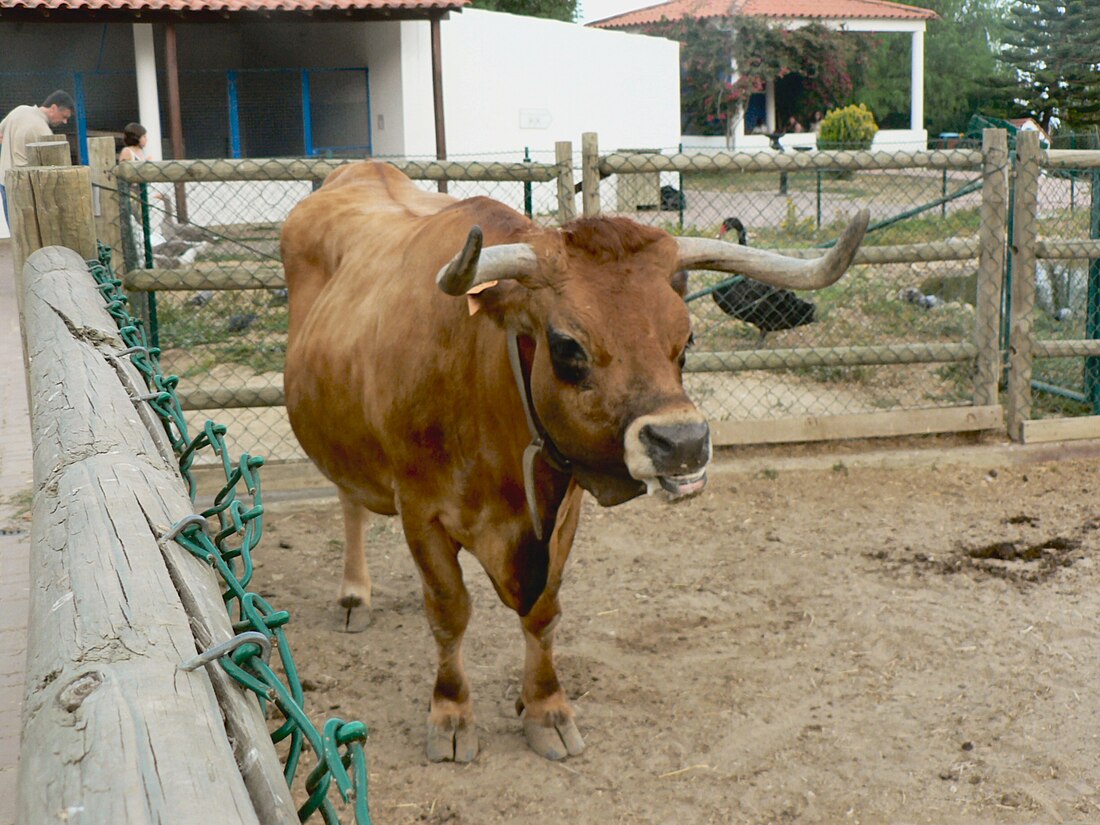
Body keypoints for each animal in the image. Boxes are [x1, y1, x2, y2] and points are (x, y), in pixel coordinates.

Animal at [283, 161, 866, 761]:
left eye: (687, 338)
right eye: (567, 347)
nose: (682, 442)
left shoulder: (564, 509)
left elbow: (544, 612)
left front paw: (544, 706)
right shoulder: (421, 511)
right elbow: (449, 611)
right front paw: (450, 713)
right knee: (349, 501)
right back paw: (354, 594)